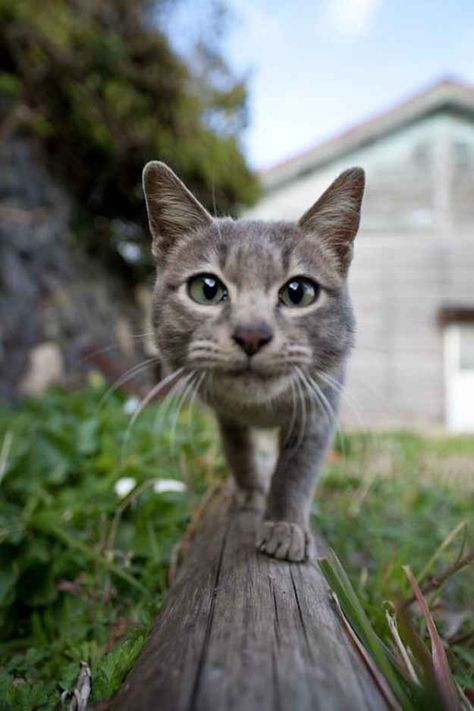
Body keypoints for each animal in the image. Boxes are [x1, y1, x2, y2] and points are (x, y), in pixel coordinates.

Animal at [143, 160, 364, 560]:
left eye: (298, 292)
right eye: (207, 289)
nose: (251, 335)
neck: (260, 409)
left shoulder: (319, 408)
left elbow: (296, 470)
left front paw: (284, 527)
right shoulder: (225, 414)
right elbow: (238, 450)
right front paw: (249, 492)